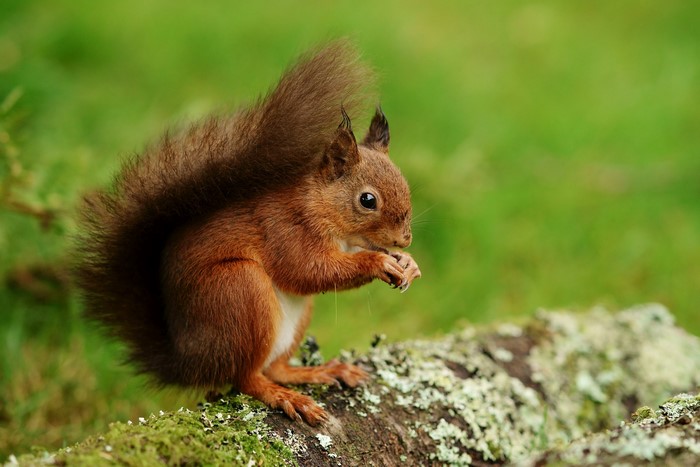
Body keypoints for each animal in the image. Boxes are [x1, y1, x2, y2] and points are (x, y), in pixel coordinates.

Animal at [75, 41, 421, 425]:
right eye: (367, 200)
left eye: (405, 184)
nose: (404, 239)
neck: (319, 205)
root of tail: (190, 360)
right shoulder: (284, 227)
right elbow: (309, 270)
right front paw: (379, 262)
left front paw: (407, 263)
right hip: (239, 290)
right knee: (247, 377)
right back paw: (285, 396)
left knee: (275, 368)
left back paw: (318, 372)